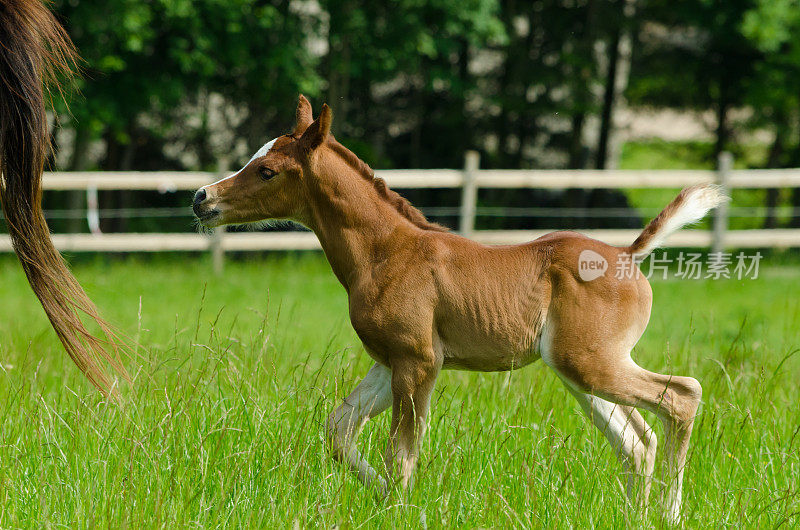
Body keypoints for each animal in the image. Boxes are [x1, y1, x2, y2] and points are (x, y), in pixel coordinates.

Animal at [194, 96, 724, 520]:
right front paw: (383, 499)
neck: (386, 252)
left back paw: (670, 514)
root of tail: (629, 254)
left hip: (590, 364)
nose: (202, 198)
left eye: (267, 170)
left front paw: (399, 510)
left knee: (682, 396)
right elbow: (339, 430)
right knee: (636, 442)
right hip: (578, 369)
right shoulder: (389, 361)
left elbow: (401, 453)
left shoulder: (418, 362)